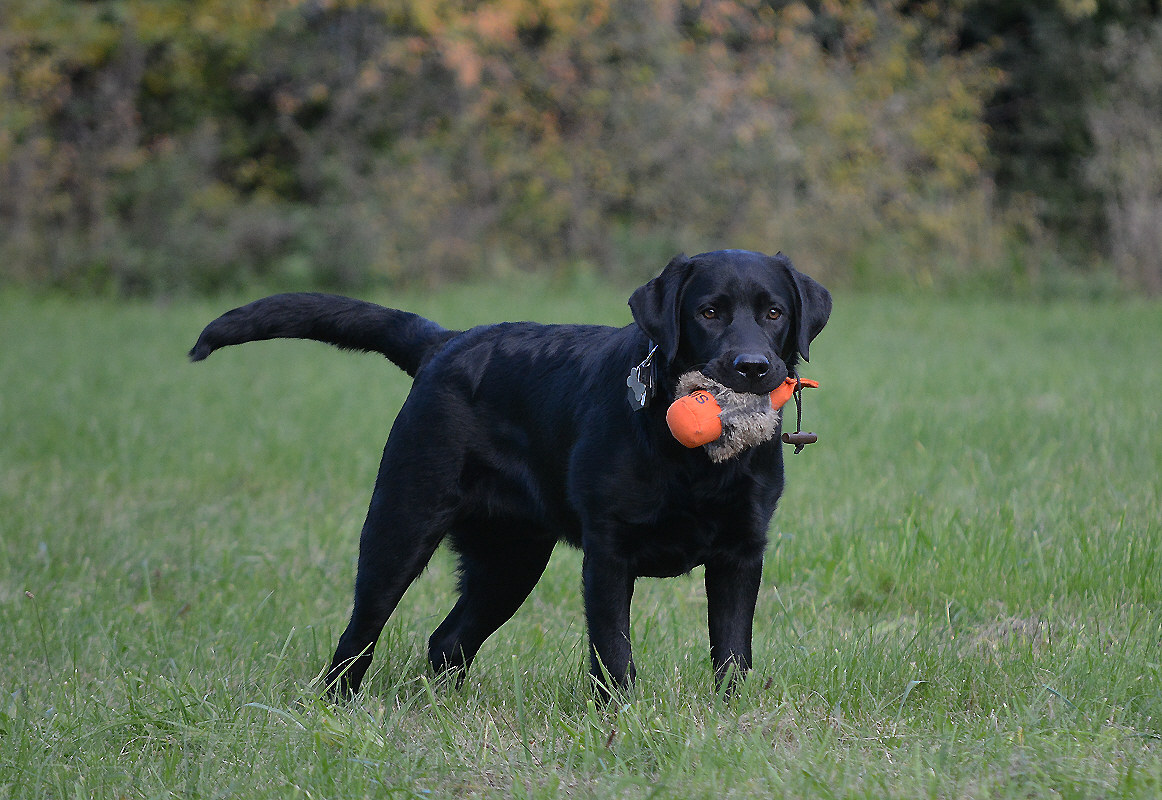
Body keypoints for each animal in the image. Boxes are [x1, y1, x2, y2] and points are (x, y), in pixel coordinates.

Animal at [188, 248, 827, 693]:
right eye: (709, 311)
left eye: (774, 312)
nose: (753, 366)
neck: (693, 462)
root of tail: (445, 342)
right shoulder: (608, 554)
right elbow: (613, 654)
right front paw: (620, 720)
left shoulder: (741, 554)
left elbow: (732, 654)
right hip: (401, 527)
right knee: (359, 637)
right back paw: (335, 707)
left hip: (510, 559)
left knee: (447, 641)